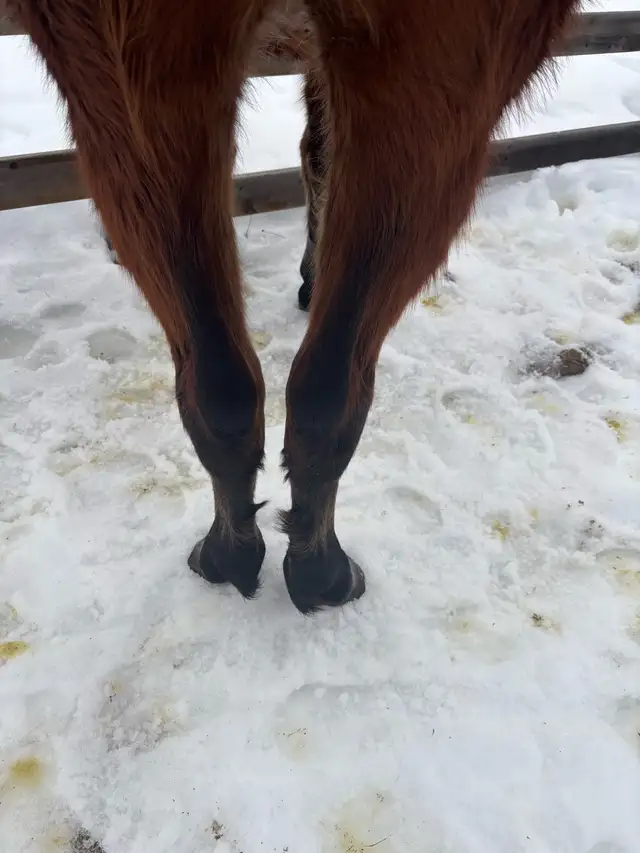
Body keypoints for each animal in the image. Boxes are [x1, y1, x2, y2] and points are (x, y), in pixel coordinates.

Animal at [7, 0, 581, 614]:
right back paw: (321, 571)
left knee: (235, 388)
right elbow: (318, 151)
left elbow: (318, 151)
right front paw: (310, 275)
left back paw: (239, 556)